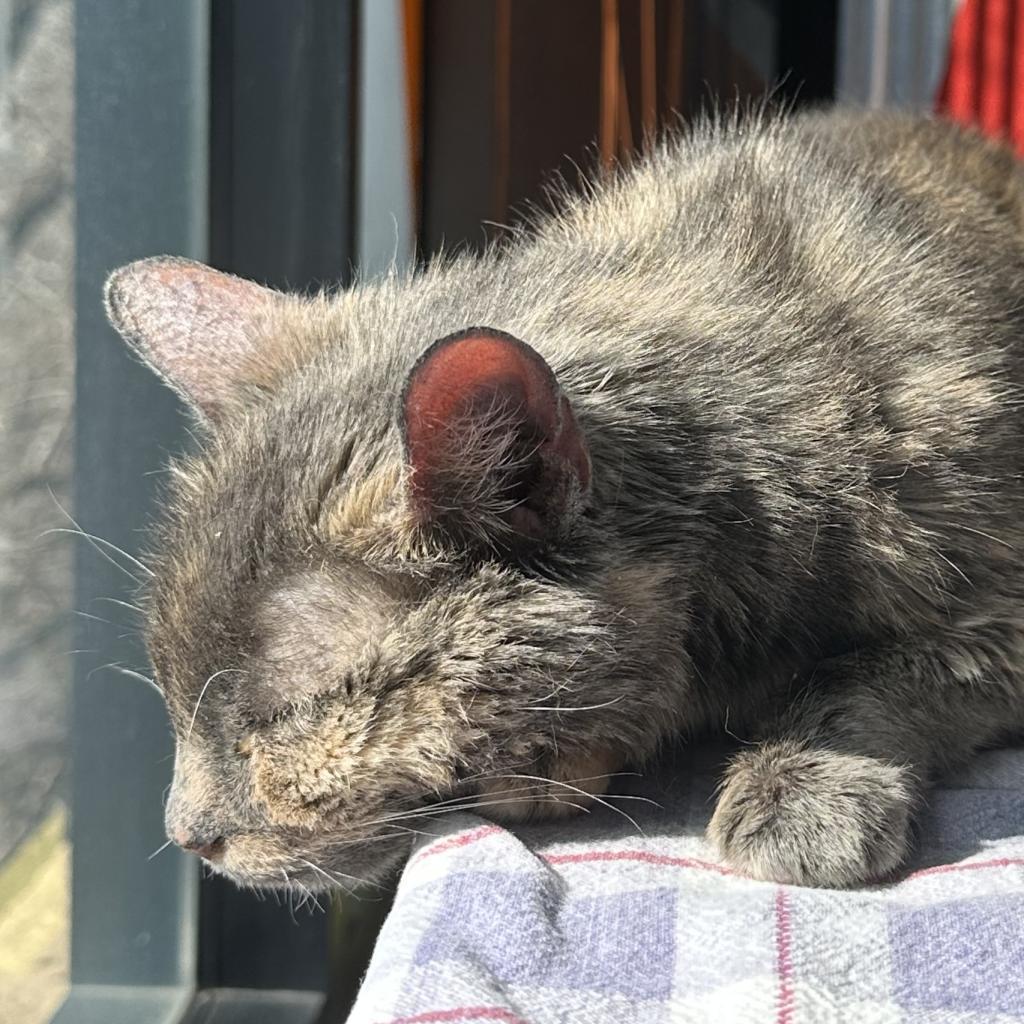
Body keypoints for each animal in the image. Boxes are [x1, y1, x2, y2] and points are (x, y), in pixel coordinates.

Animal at [101, 110, 1024, 888]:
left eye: (281, 716)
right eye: (170, 694)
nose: (186, 834)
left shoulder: (999, 604)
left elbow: (872, 670)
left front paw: (804, 786)